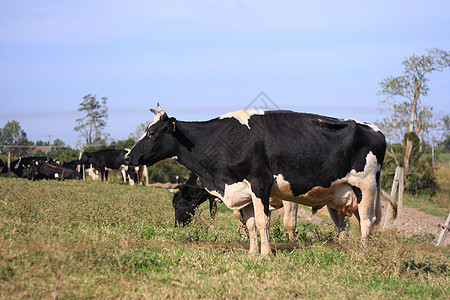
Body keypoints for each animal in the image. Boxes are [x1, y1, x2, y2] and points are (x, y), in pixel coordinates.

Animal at [125, 104, 396, 254]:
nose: (128, 156)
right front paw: (252, 253)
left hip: (366, 186)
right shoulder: (242, 192)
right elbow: (250, 225)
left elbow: (263, 222)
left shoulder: (260, 185)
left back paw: (362, 252)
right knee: (345, 224)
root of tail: (376, 130)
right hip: (340, 194)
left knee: (367, 222)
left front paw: (265, 254)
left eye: (152, 133)